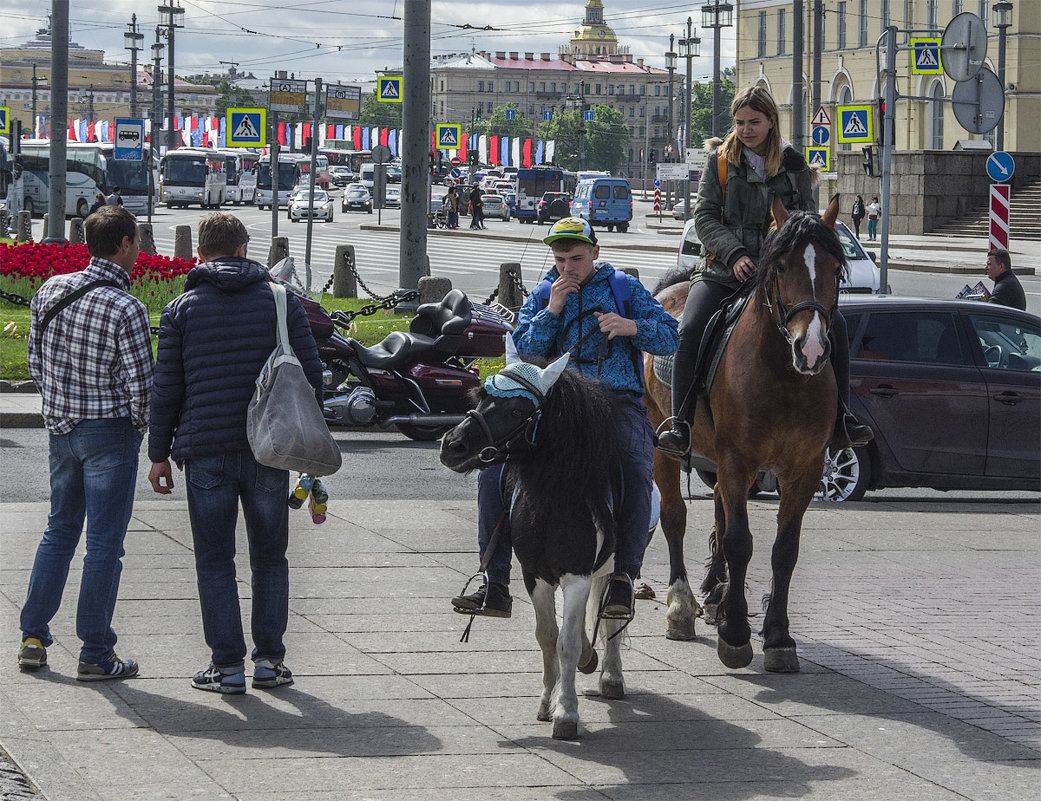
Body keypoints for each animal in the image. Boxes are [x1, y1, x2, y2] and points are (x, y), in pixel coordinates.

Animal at [439, 335, 624, 737]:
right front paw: (546, 702)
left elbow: (566, 643)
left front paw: (566, 713)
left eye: (515, 412)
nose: (451, 445)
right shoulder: (535, 576)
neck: (555, 501)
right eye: (481, 396)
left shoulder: (577, 576)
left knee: (613, 613)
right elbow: (548, 637)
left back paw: (612, 676)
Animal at [641, 195, 845, 666]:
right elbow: (739, 541)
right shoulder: (738, 460)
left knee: (717, 504)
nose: (811, 349)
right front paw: (735, 635)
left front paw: (778, 636)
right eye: (782, 266)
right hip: (663, 440)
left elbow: (784, 550)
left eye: (835, 267)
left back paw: (717, 594)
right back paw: (682, 606)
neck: (785, 377)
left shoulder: (804, 470)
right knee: (675, 515)